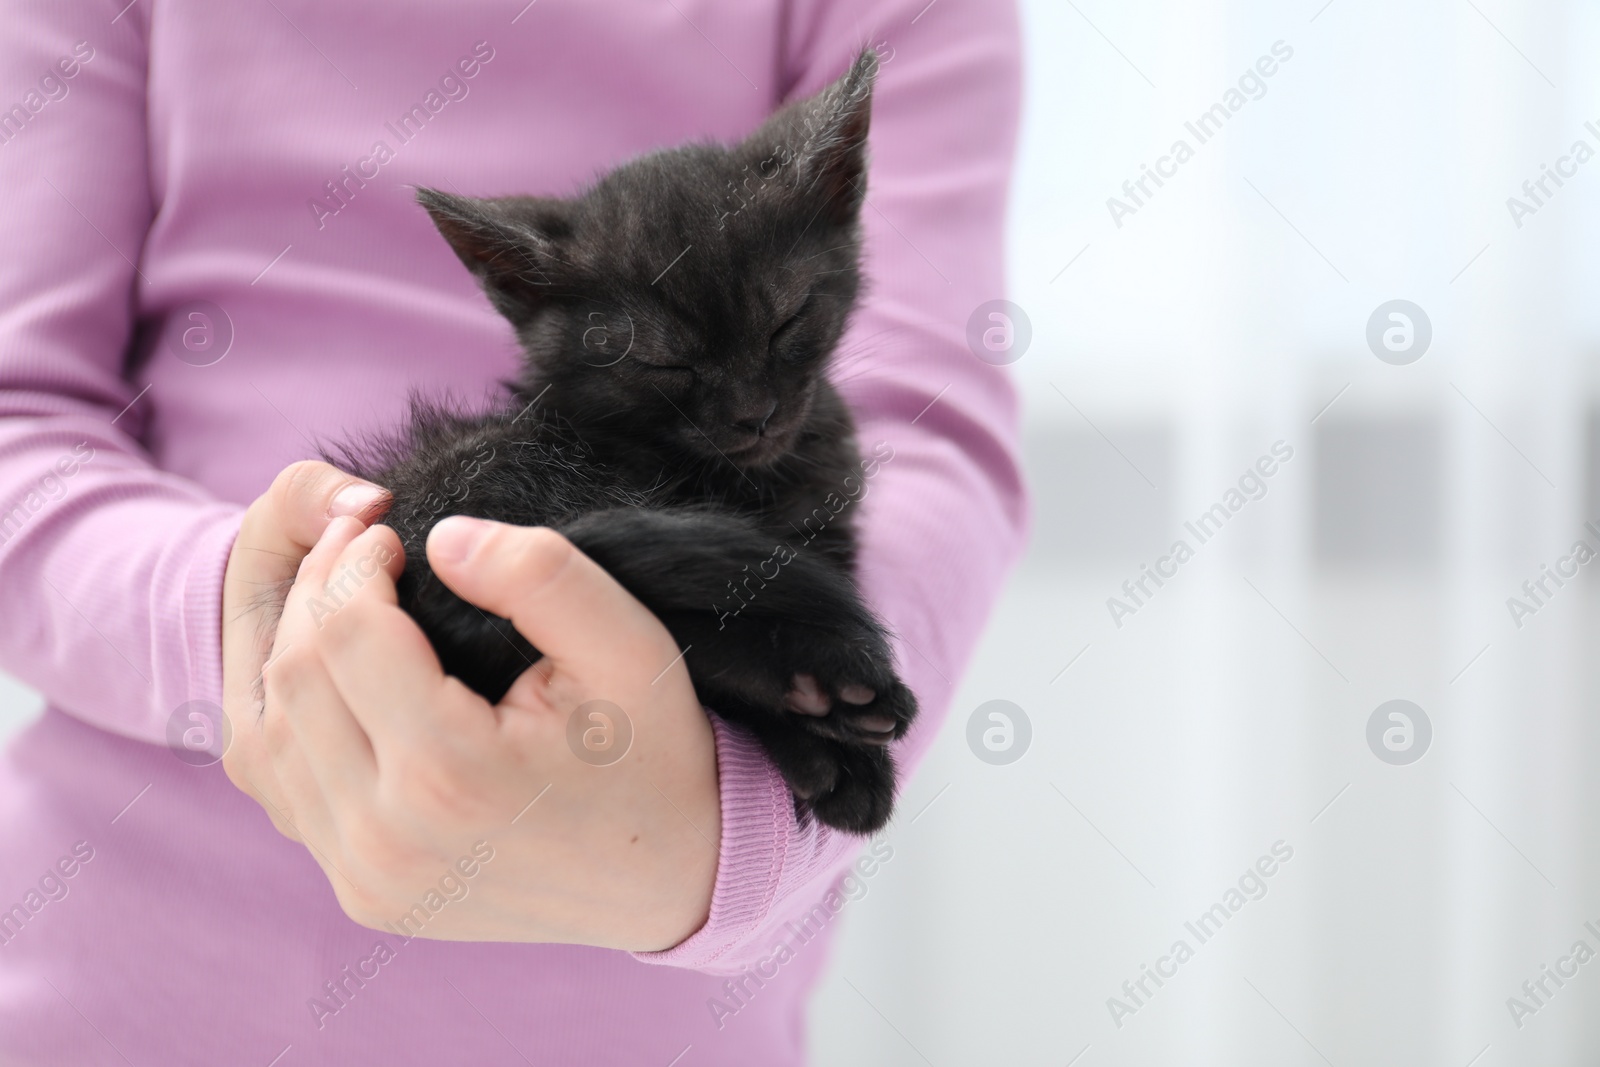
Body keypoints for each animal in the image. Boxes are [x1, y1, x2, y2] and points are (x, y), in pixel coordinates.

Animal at [342, 51, 908, 831]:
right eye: (667, 366)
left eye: (787, 323)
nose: (755, 416)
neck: (752, 483)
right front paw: (838, 757)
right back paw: (819, 689)